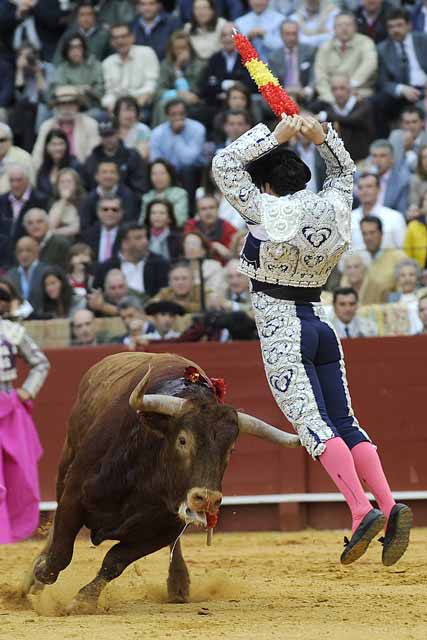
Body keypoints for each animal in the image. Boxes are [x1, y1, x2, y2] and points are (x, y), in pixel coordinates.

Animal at [25, 352, 300, 612]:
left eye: (230, 449)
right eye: (182, 440)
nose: (206, 499)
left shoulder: (164, 529)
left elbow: (114, 561)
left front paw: (83, 601)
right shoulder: (74, 496)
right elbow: (60, 553)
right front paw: (38, 574)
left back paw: (178, 585)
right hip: (66, 461)